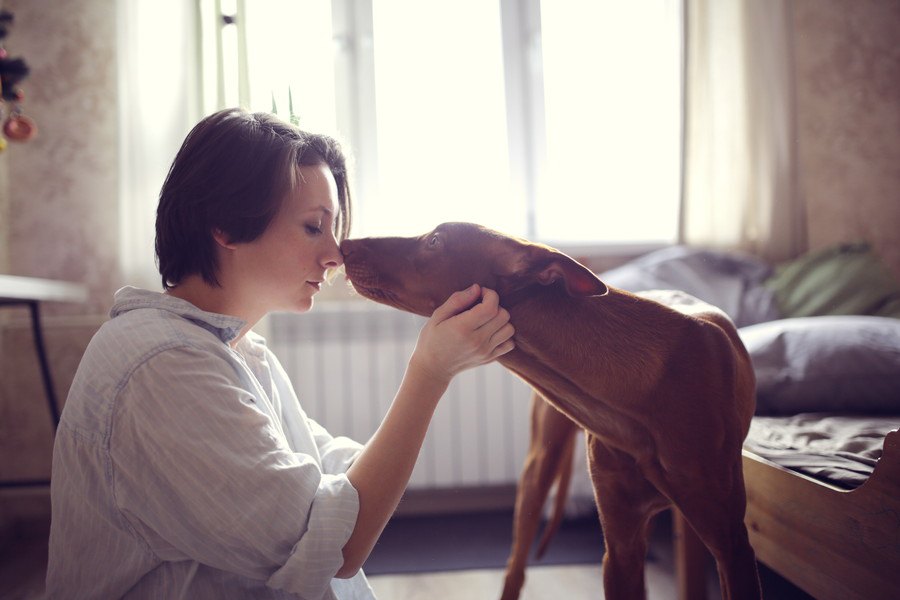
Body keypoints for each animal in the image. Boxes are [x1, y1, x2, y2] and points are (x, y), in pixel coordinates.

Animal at [342, 223, 764, 596]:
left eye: (435, 241)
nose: (344, 244)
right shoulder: (621, 549)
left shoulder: (732, 547)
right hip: (537, 473)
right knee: (515, 568)